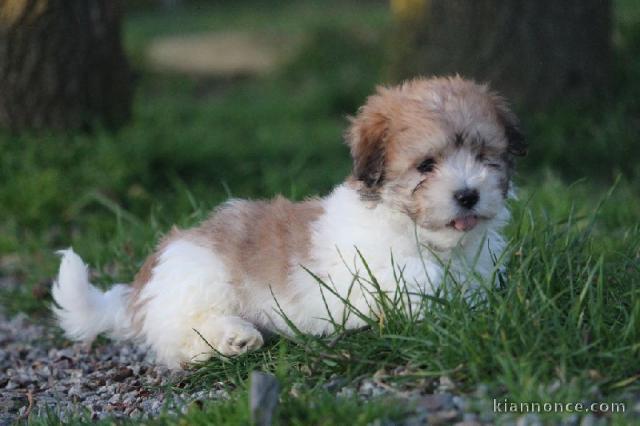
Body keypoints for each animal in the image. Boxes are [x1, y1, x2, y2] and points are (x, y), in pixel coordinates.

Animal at [52, 77, 524, 370]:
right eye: (426, 165)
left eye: (484, 157)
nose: (468, 194)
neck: (422, 236)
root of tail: (143, 283)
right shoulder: (375, 278)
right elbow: (423, 289)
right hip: (203, 281)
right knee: (179, 338)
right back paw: (233, 339)